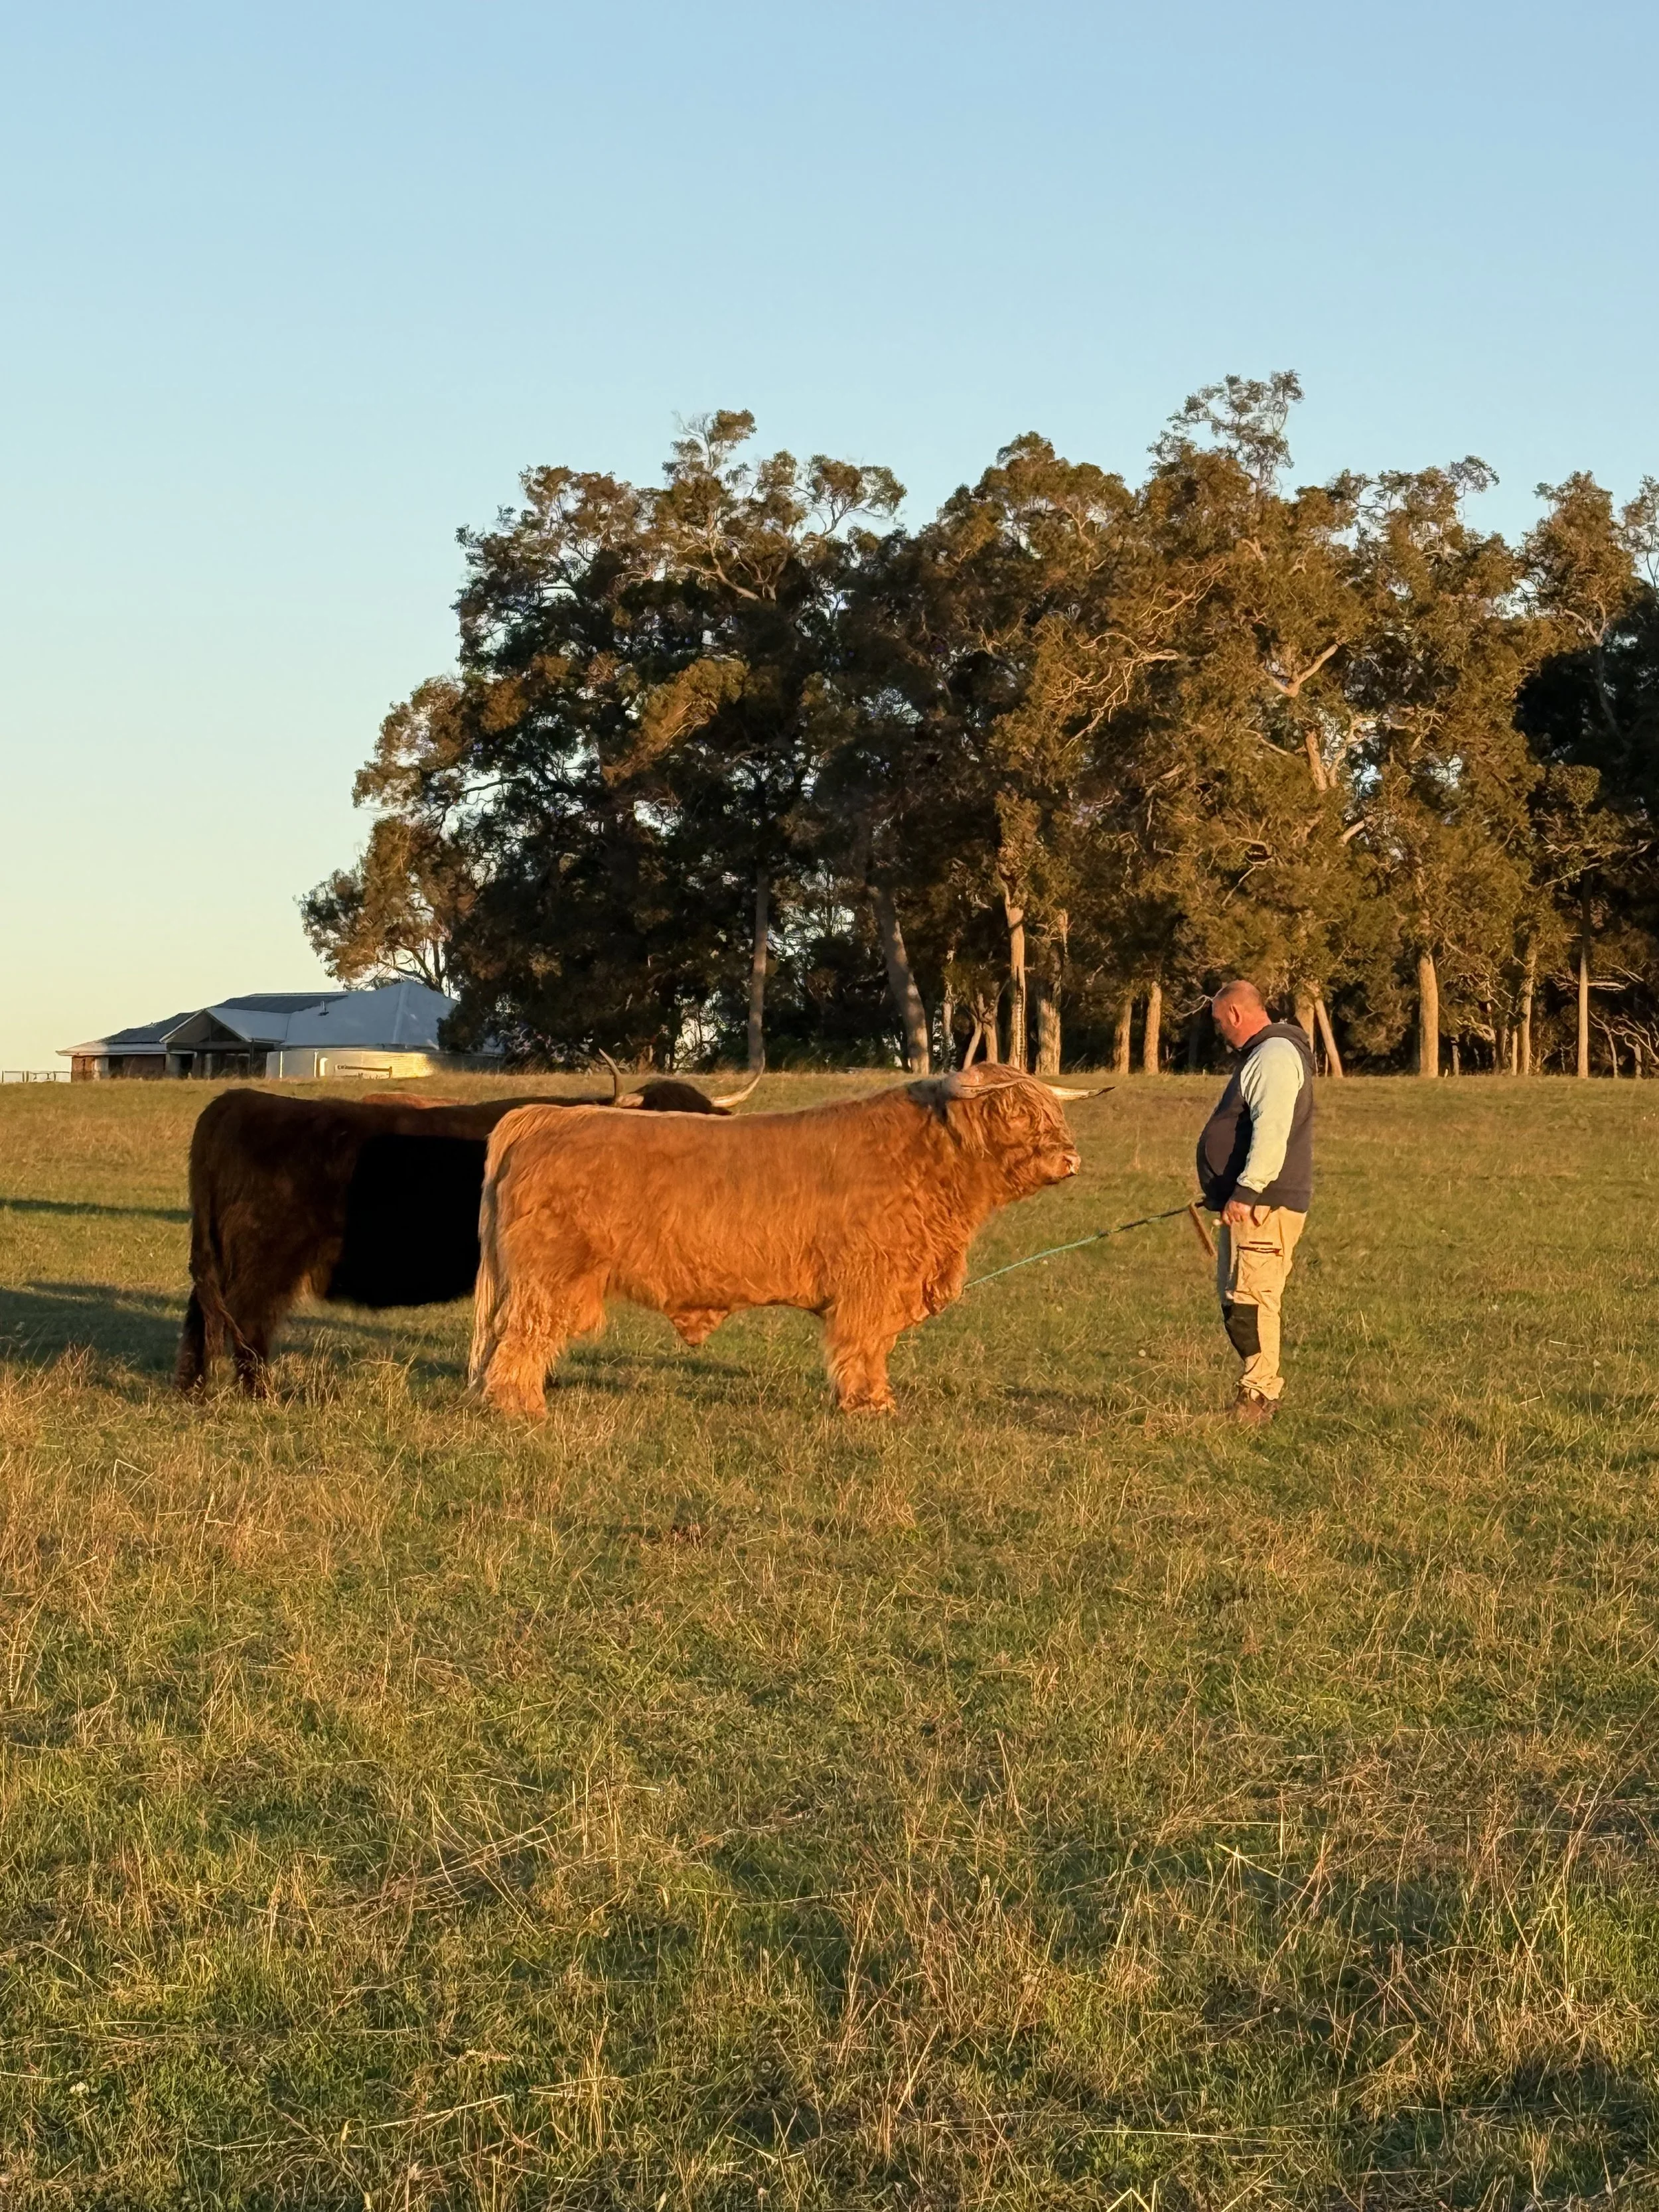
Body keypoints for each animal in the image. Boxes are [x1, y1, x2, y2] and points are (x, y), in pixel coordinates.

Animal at [176, 1069, 760, 1396]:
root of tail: (236, 1101)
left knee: (201, 1315)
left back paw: (192, 1389)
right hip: (265, 1259)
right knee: (247, 1322)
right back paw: (262, 1394)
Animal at [467, 1063, 1083, 1418]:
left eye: (1051, 1111)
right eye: (1014, 1112)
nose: (1070, 1158)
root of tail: (545, 1119)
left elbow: (875, 1346)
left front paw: (875, 1398)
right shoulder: (871, 1282)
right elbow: (864, 1345)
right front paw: (869, 1405)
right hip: (550, 1275)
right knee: (524, 1334)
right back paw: (521, 1407)